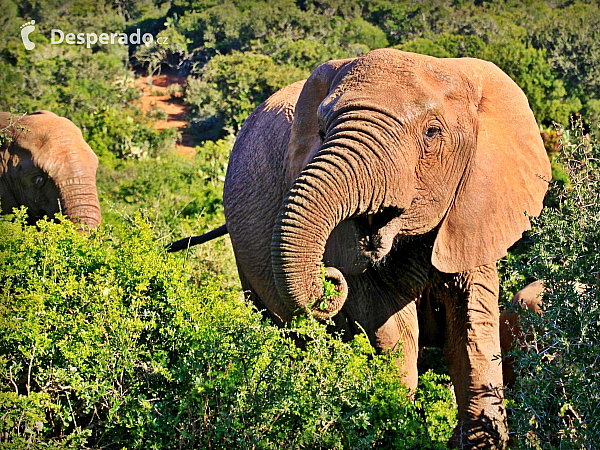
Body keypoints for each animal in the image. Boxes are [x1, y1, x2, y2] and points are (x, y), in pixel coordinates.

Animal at [169, 47, 548, 448]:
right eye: (322, 132)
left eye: (432, 132)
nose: (328, 278)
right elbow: (390, 327)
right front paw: (392, 424)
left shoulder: (472, 210)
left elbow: (473, 324)